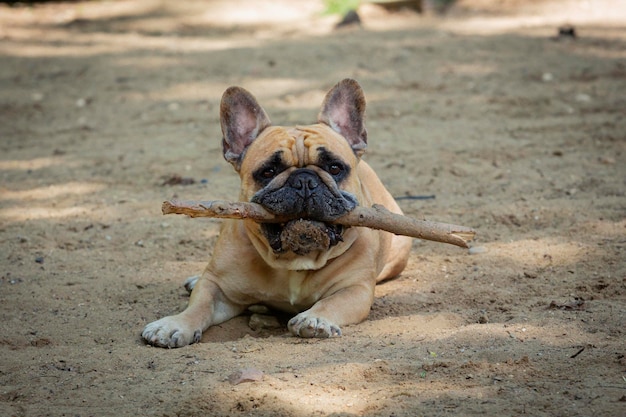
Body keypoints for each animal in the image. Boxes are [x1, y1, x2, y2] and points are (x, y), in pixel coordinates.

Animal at [141, 79, 410, 348]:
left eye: (334, 168)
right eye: (268, 171)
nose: (304, 181)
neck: (295, 260)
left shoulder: (356, 289)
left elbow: (333, 302)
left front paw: (314, 319)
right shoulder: (217, 286)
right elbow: (199, 304)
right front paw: (175, 324)